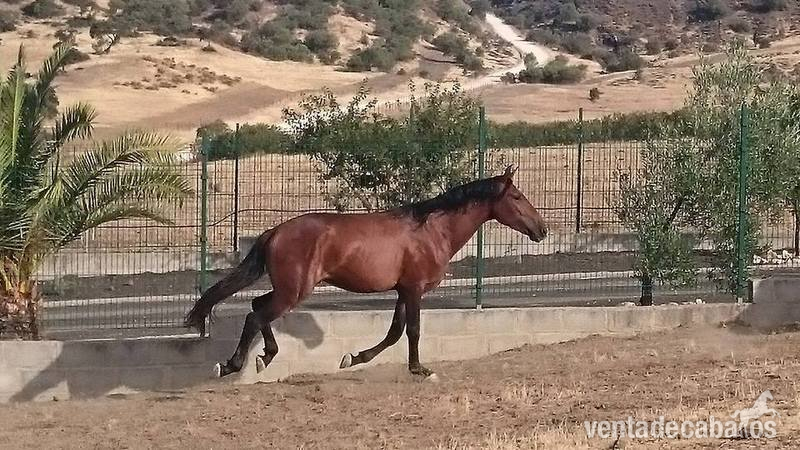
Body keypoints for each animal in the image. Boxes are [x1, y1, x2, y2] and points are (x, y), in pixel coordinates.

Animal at [185, 165, 548, 378]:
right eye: (517, 196)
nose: (542, 229)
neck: (432, 230)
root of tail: (275, 232)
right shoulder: (415, 289)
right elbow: (413, 331)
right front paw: (419, 369)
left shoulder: (403, 290)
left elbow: (394, 332)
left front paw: (354, 358)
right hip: (294, 291)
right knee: (255, 315)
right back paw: (239, 363)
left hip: (288, 289)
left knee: (257, 307)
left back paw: (256, 358)